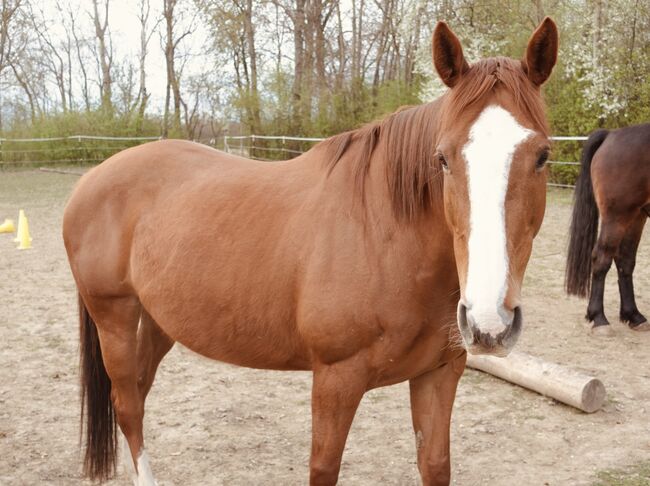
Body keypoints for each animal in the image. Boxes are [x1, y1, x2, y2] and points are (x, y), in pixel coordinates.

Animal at [63, 18, 558, 486]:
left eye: (542, 156)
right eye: (443, 158)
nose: (490, 322)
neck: (386, 238)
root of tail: (92, 179)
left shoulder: (438, 375)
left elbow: (435, 466)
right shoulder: (335, 380)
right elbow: (324, 468)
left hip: (159, 320)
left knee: (140, 391)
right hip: (115, 317)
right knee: (127, 403)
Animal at [565, 123, 650, 335]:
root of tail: (611, 135)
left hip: (636, 216)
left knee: (625, 260)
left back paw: (634, 316)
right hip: (617, 216)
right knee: (601, 258)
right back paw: (599, 319)